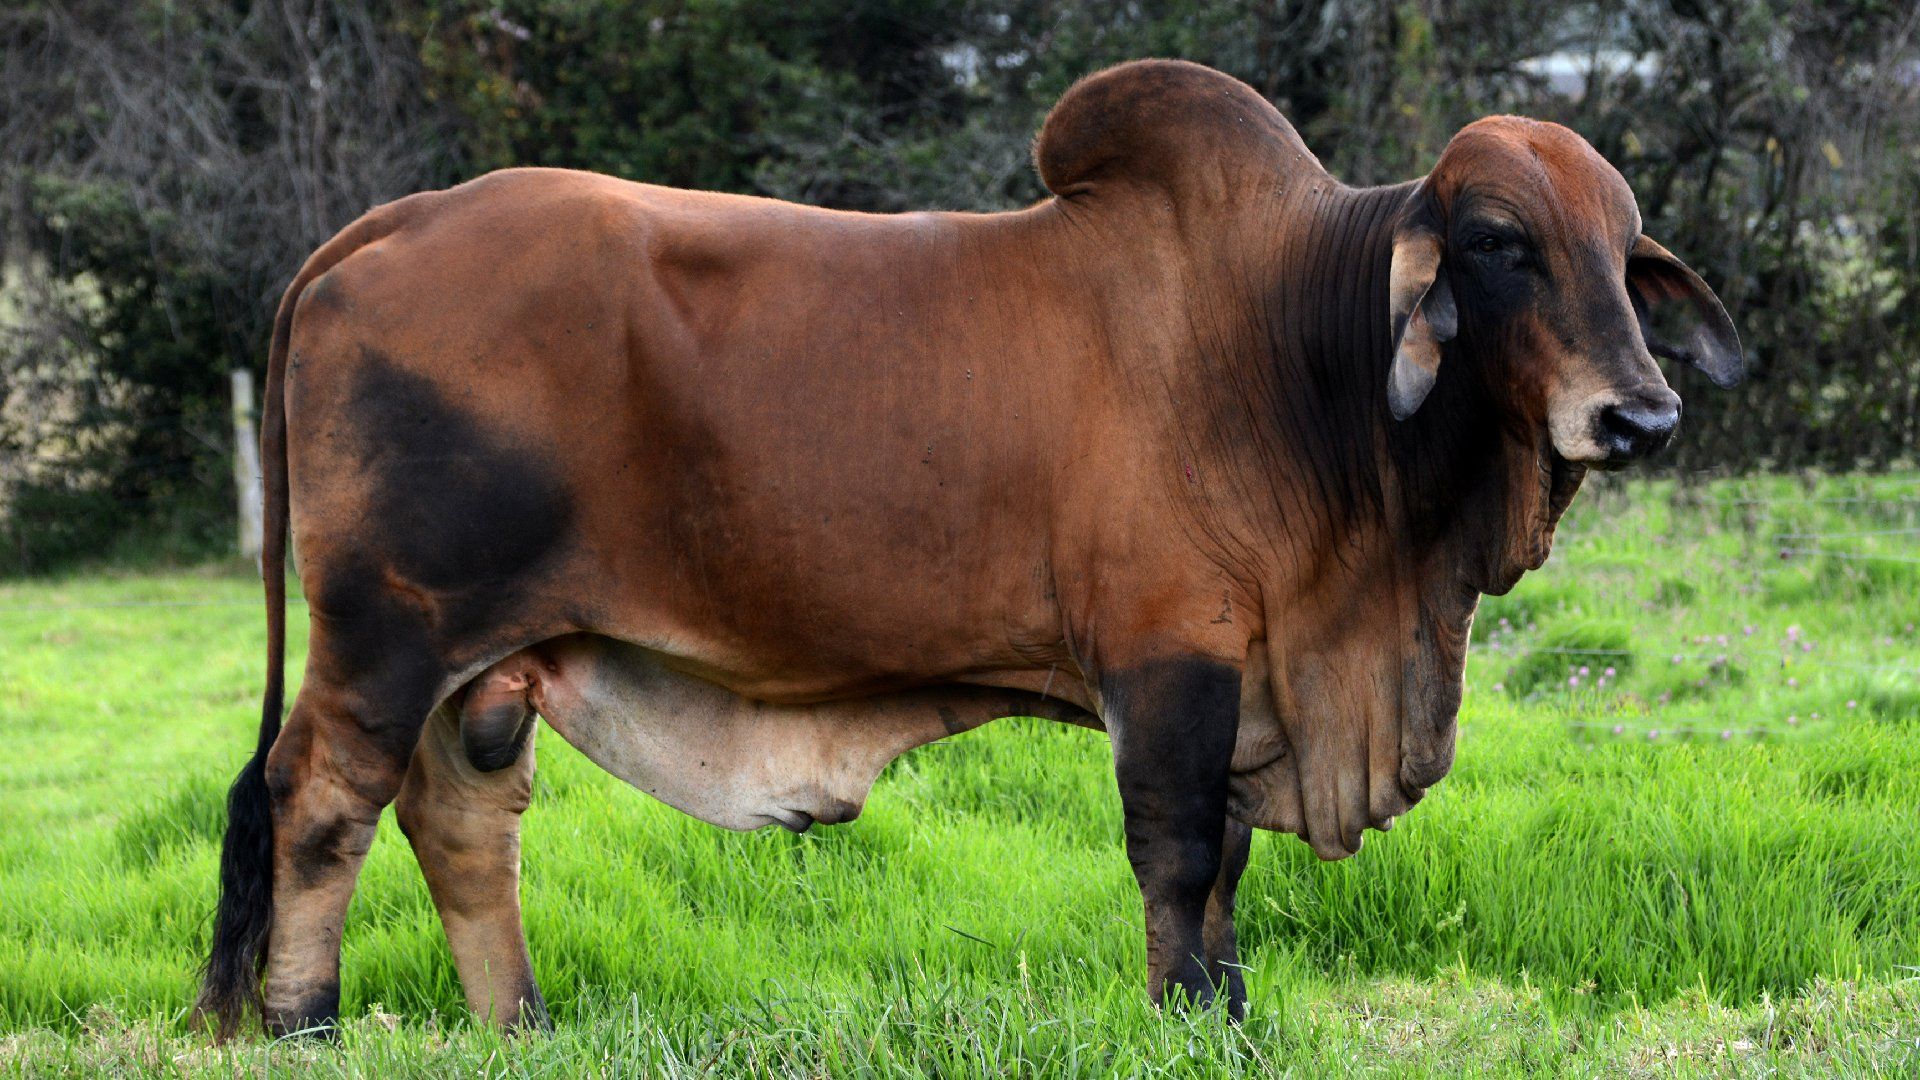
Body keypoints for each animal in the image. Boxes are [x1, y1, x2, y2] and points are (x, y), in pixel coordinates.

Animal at [195, 59, 1742, 1038]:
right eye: (1498, 242)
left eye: (1626, 251)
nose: (1642, 412)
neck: (1289, 350)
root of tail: (376, 229)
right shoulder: (1171, 659)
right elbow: (1179, 853)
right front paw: (1184, 1017)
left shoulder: (1246, 680)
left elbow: (1227, 871)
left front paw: (1232, 1014)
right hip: (387, 633)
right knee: (320, 803)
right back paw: (303, 1022)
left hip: (490, 663)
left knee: (461, 822)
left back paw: (518, 1025)